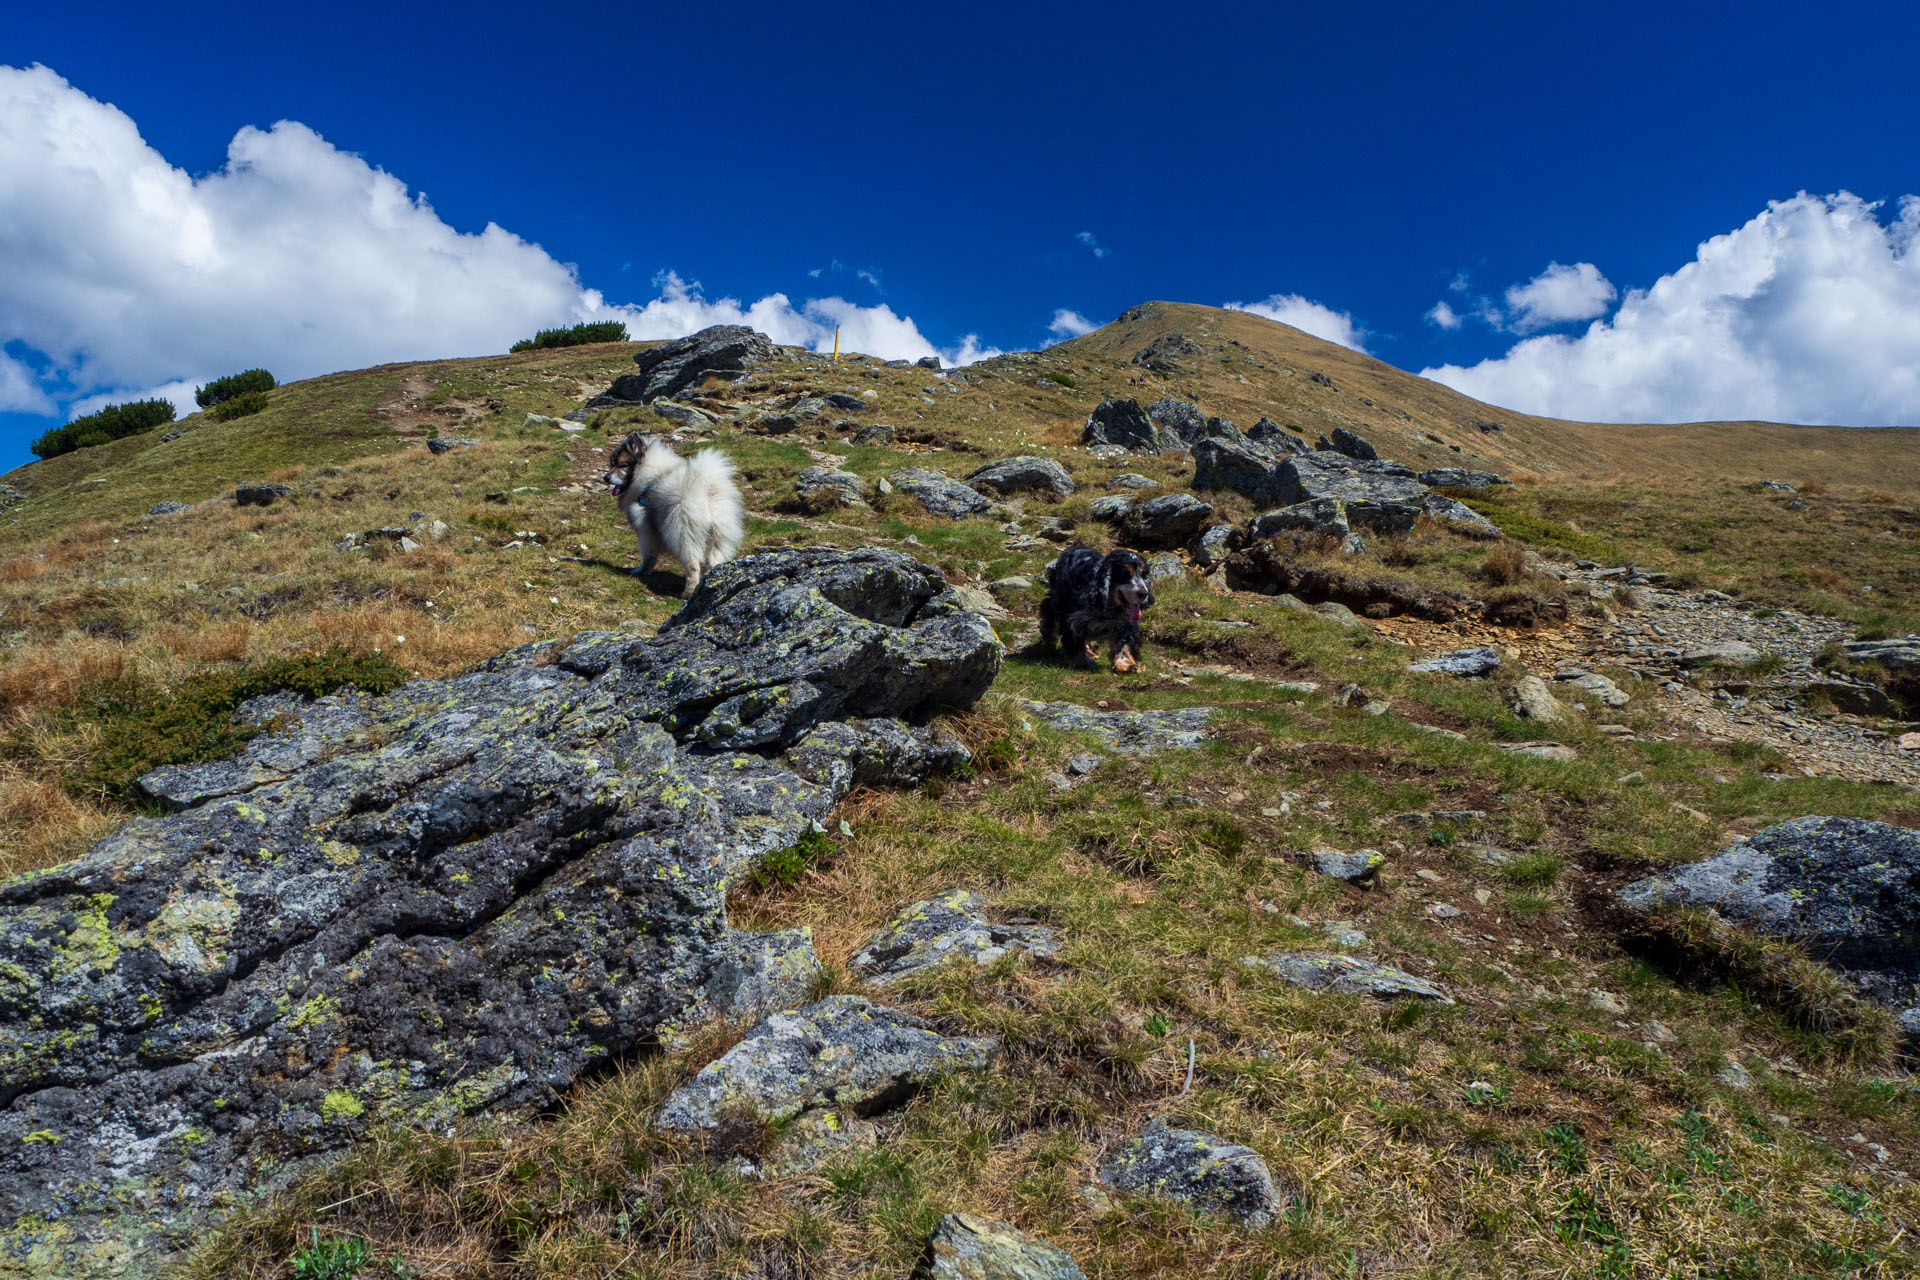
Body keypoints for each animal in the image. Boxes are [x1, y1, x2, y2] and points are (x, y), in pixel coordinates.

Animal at [602, 433, 744, 598]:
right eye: (612, 464)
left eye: (623, 465)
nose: (605, 477)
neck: (648, 477)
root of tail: (707, 492)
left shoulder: (645, 531)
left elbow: (648, 555)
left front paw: (642, 571)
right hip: (718, 538)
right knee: (716, 563)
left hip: (684, 536)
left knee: (693, 566)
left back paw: (687, 594)